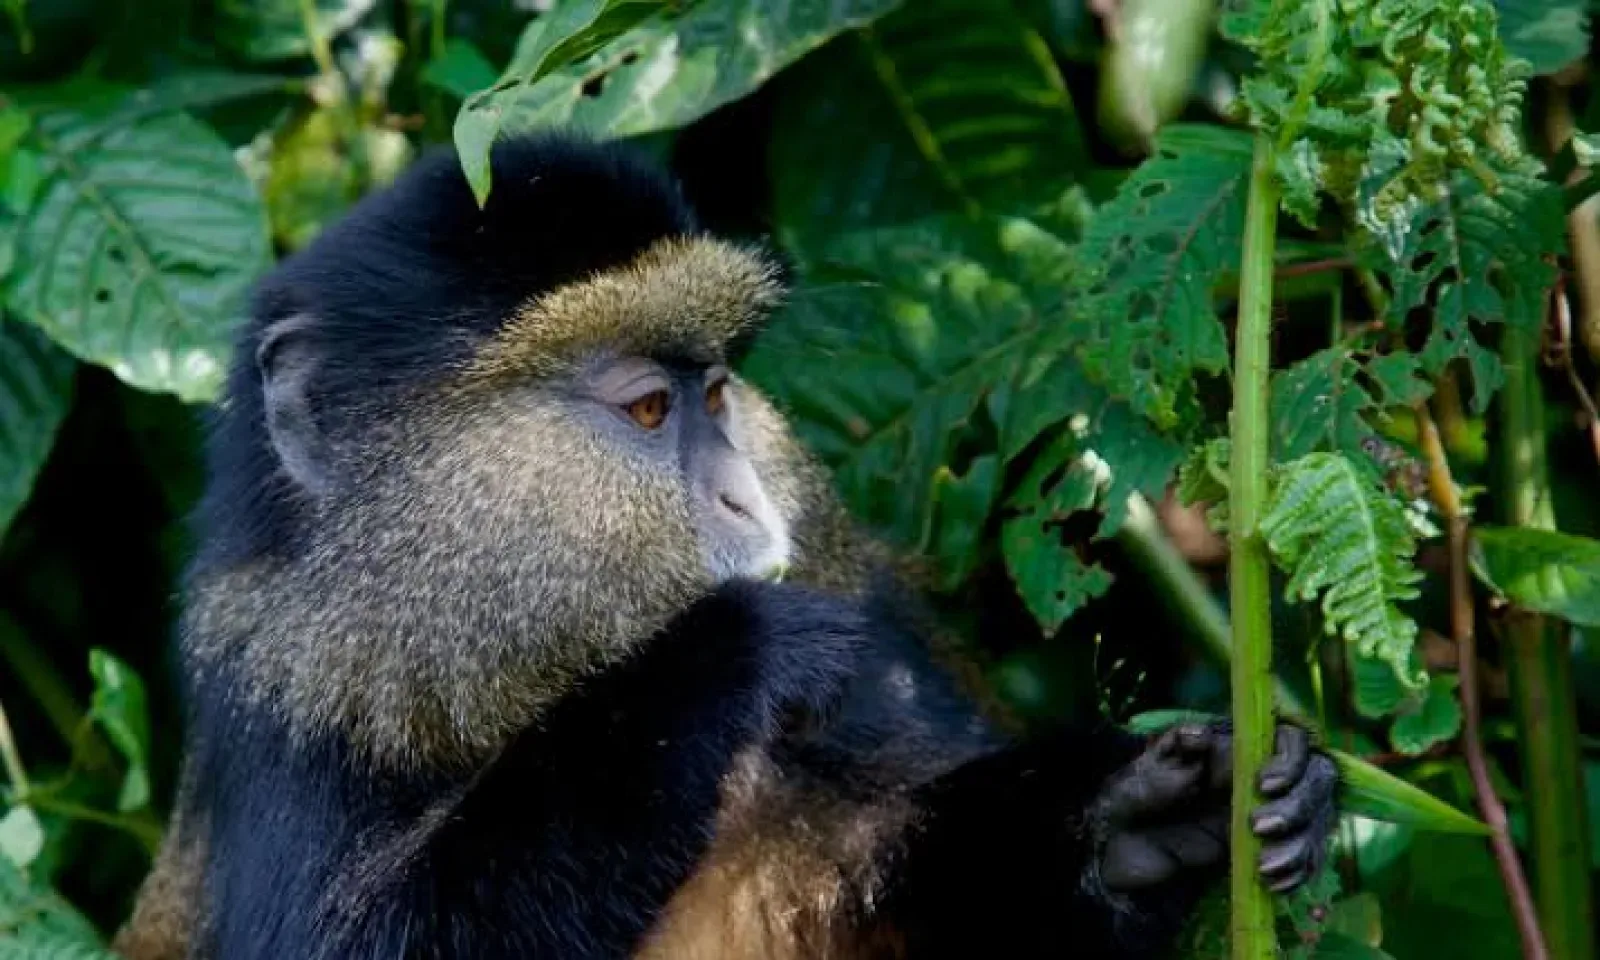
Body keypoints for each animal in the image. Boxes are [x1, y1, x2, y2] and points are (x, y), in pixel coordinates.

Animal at [112, 132, 1339, 960]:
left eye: (716, 391)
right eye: (651, 410)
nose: (748, 500)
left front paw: (1134, 821)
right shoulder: (290, 710)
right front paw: (725, 654)